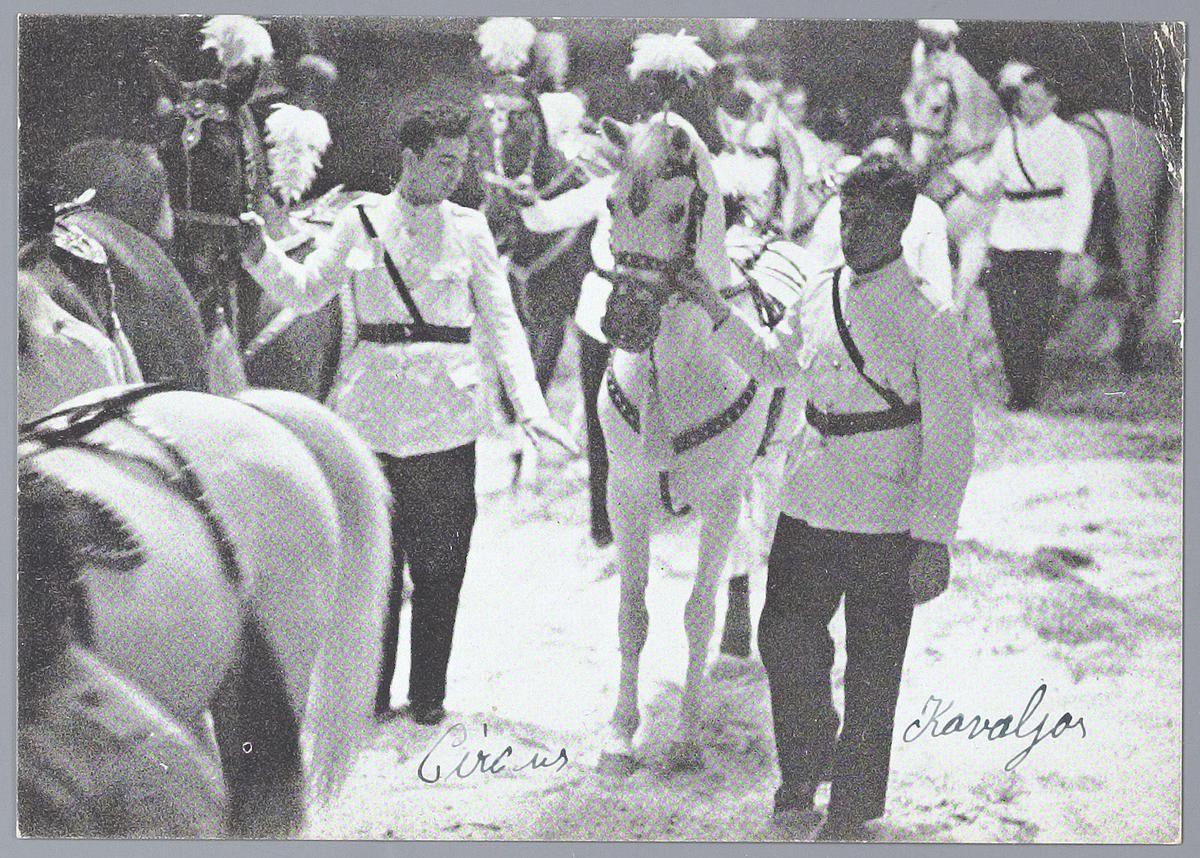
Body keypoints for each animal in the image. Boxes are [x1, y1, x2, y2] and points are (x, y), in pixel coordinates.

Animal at [594, 112, 798, 770]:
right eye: (611, 203)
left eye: (678, 209)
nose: (625, 319)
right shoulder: (624, 495)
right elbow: (632, 615)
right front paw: (620, 734)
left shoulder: (721, 496)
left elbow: (696, 613)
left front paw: (685, 736)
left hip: (773, 464)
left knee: (759, 543)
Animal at [902, 48, 1174, 370]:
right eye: (907, 104)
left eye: (936, 108)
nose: (916, 167)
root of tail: (1148, 134)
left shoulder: (976, 243)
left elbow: (963, 295)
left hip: (1132, 227)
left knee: (1135, 284)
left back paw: (1125, 352)